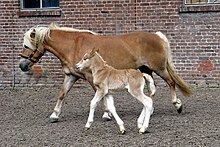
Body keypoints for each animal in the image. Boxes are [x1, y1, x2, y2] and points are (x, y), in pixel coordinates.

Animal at [18, 23, 191, 123]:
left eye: (27, 45)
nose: (22, 65)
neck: (73, 45)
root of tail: (157, 36)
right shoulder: (71, 76)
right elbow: (62, 94)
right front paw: (54, 115)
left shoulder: (91, 78)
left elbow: (100, 96)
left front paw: (107, 114)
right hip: (145, 70)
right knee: (151, 88)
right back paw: (150, 109)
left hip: (159, 68)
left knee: (171, 83)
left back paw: (177, 105)